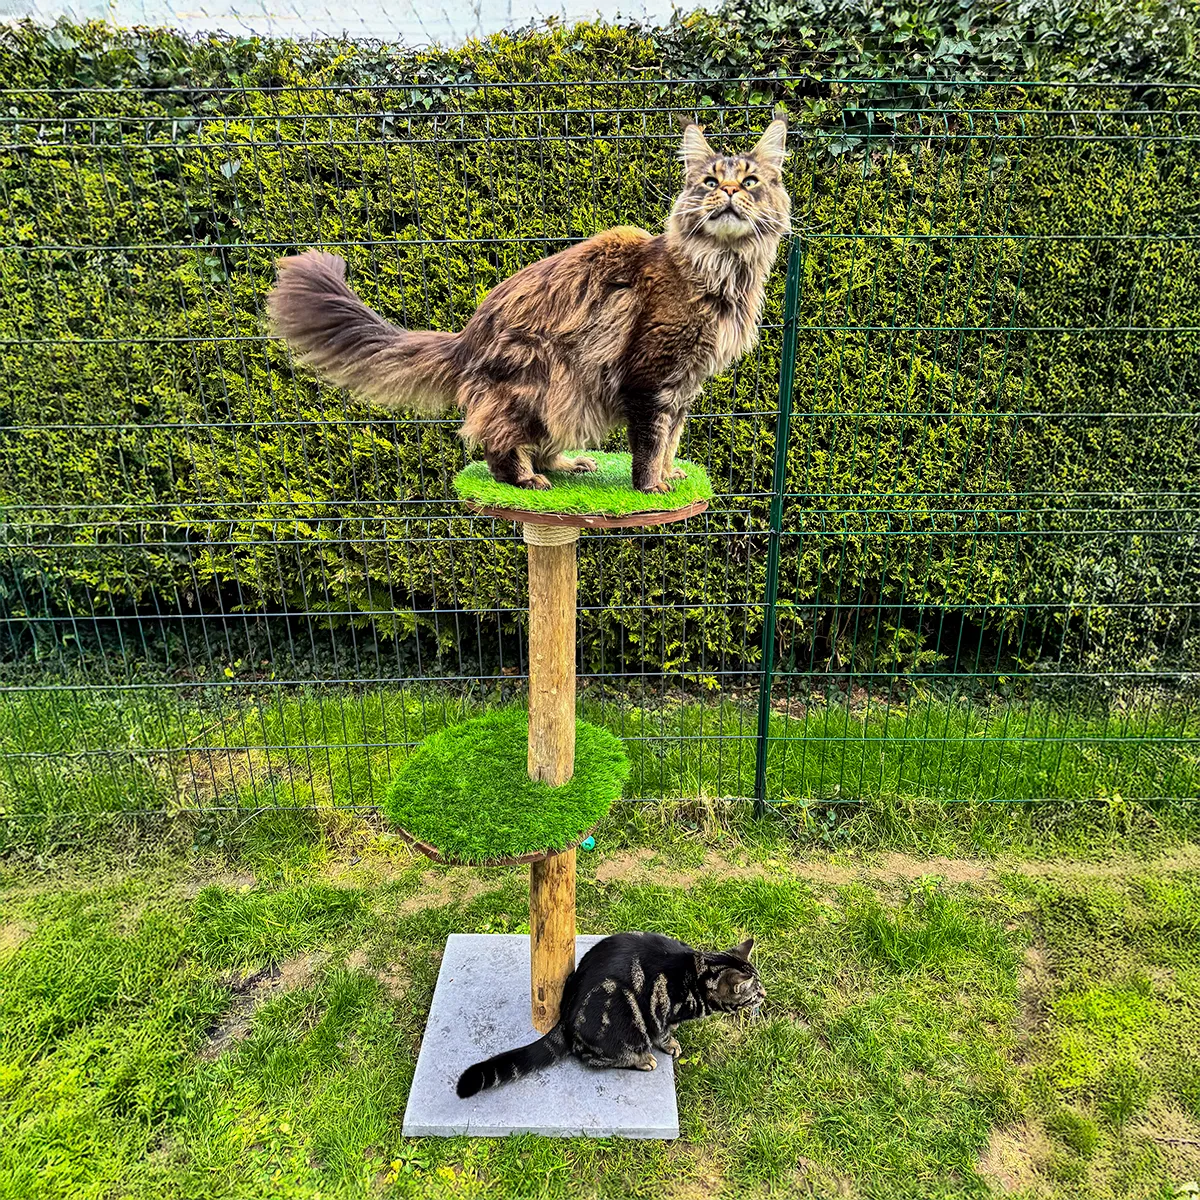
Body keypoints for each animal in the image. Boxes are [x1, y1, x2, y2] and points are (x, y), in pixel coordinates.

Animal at [267, 117, 792, 492]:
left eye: (750, 181)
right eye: (710, 182)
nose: (729, 192)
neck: (722, 268)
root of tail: (467, 337)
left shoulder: (683, 385)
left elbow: (671, 440)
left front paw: (671, 475)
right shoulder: (651, 379)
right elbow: (649, 444)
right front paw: (651, 488)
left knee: (540, 442)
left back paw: (570, 463)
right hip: (536, 378)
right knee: (497, 445)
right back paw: (526, 478)